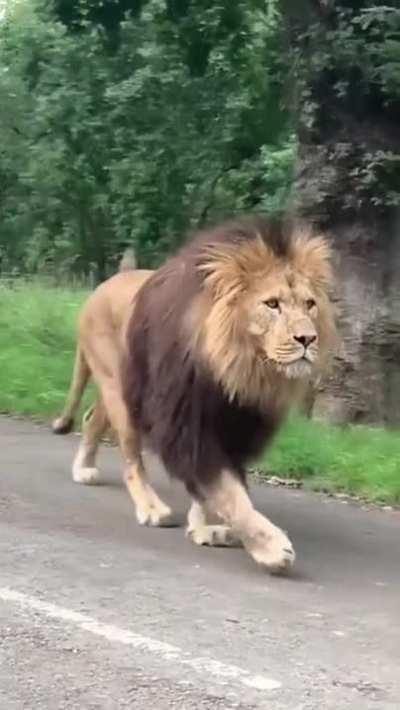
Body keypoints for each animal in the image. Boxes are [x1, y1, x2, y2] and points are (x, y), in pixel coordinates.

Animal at [53, 216, 336, 574]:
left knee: (92, 418)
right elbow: (228, 493)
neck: (240, 370)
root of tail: (110, 281)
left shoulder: (237, 427)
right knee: (131, 456)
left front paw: (206, 527)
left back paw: (84, 468)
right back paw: (151, 508)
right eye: (272, 304)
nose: (308, 339)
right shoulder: (188, 425)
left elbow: (221, 488)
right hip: (117, 389)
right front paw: (269, 547)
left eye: (309, 304)